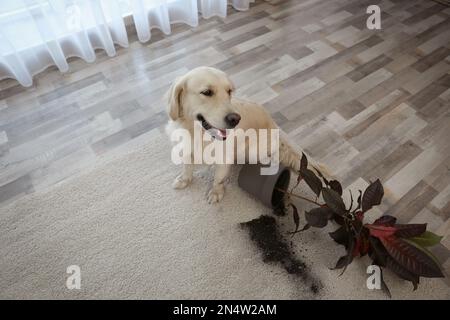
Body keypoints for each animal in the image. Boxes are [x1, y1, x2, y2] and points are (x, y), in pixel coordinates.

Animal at [165, 66, 310, 204]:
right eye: (207, 92)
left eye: (229, 91)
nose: (235, 119)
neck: (196, 133)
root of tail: (274, 125)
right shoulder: (185, 148)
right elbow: (187, 167)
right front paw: (184, 180)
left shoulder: (224, 158)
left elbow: (218, 178)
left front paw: (216, 192)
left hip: (252, 151)